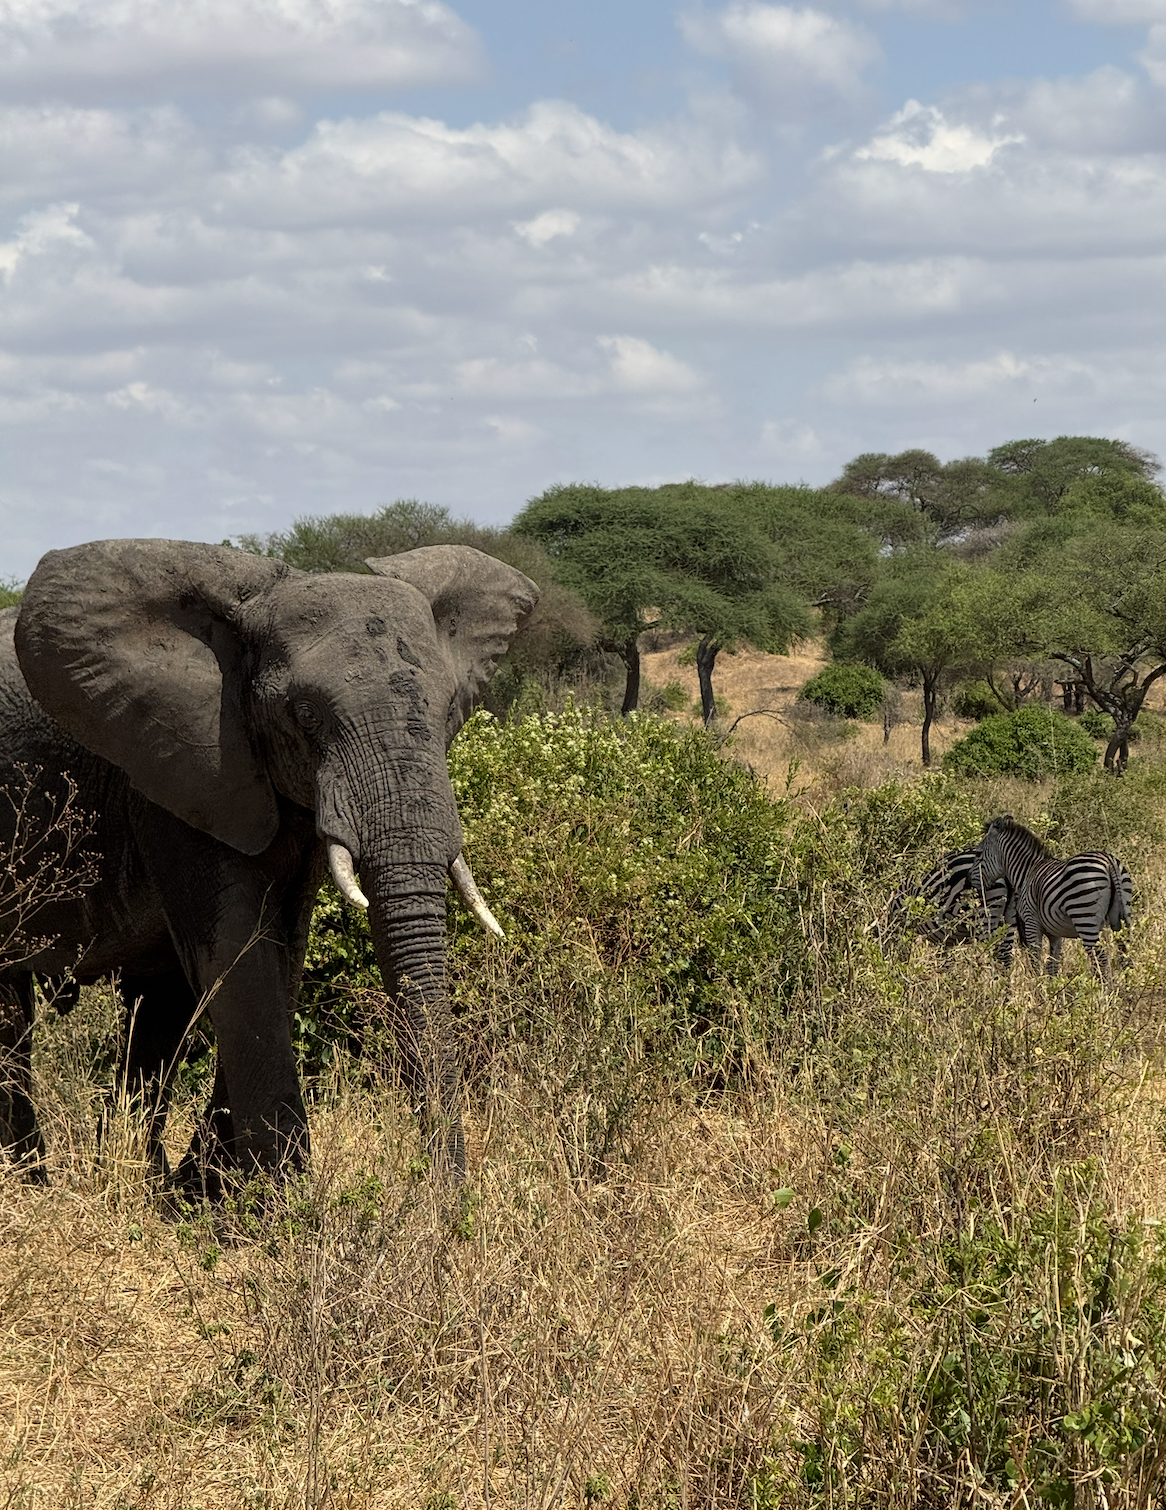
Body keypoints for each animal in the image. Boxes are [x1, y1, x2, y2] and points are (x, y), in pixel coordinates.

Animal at [0, 538, 537, 1188]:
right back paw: (34, 1178)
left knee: (153, 1008)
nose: (449, 1198)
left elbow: (283, 952)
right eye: (303, 715)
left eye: (449, 709)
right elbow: (240, 953)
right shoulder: (187, 769)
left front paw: (210, 1188)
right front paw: (283, 1199)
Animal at [975, 815, 1133, 977]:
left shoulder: (1031, 922)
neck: (1026, 872)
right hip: (1121, 917)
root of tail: (1109, 862)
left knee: (1101, 958)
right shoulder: (1054, 932)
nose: (969, 879)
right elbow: (1052, 964)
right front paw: (1051, 983)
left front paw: (1037, 982)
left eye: (978, 854)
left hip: (1084, 916)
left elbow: (1036, 960)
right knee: (1125, 954)